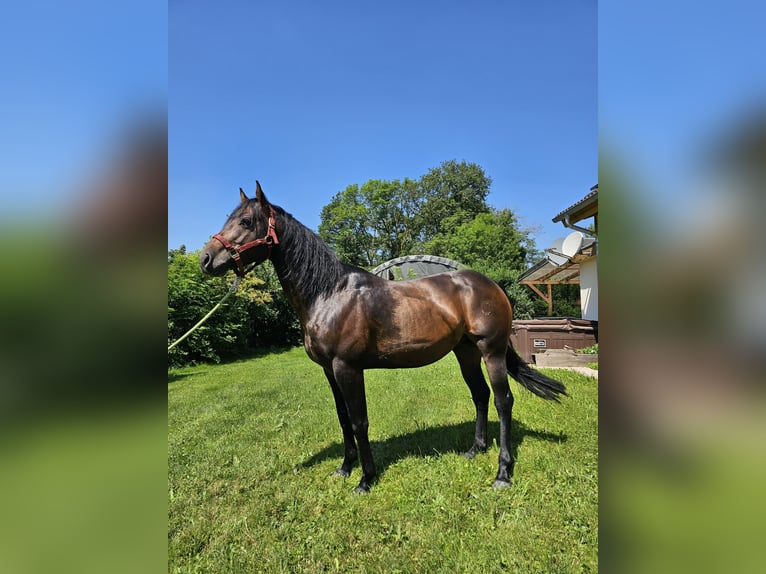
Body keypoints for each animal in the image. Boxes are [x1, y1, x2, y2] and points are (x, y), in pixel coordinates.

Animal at [199, 181, 567, 493]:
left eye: (247, 220)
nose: (206, 259)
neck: (329, 293)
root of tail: (492, 286)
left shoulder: (347, 368)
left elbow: (359, 421)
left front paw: (365, 479)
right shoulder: (329, 370)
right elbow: (343, 418)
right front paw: (344, 469)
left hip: (491, 352)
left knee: (504, 401)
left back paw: (503, 473)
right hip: (466, 352)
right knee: (480, 395)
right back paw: (475, 450)